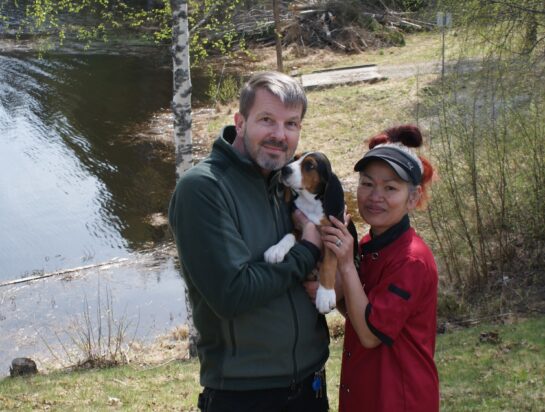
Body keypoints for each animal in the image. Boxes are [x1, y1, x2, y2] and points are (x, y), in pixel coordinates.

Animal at [264, 153, 356, 314]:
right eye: (295, 158)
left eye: (310, 166)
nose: (284, 169)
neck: (310, 202)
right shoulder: (299, 226)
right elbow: (289, 235)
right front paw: (276, 250)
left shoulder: (333, 234)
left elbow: (328, 262)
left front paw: (325, 295)